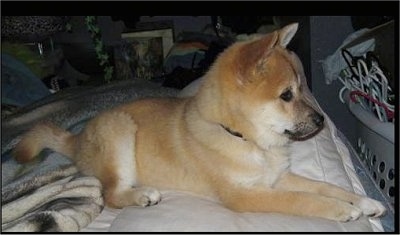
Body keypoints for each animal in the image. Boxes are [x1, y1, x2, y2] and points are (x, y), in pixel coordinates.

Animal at [14, 23, 386, 222]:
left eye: (302, 88)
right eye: (286, 95)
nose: (321, 119)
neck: (245, 139)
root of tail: (77, 139)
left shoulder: (277, 177)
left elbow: (325, 186)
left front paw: (364, 202)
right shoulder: (245, 195)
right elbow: (302, 200)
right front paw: (340, 210)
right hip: (120, 134)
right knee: (111, 194)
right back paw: (142, 195)